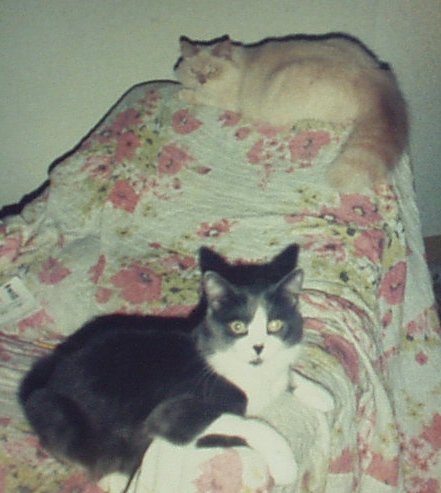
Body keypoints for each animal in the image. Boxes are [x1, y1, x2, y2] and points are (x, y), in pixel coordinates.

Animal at [18, 244, 306, 490]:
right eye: (238, 327)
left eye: (275, 325)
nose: (258, 347)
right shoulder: (174, 409)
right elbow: (244, 424)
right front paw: (285, 465)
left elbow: (294, 379)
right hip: (54, 410)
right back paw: (115, 477)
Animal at [174, 33, 408, 191]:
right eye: (194, 70)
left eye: (212, 71)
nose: (201, 81)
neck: (240, 67)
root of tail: (372, 75)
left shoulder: (226, 100)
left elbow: (199, 97)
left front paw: (184, 93)